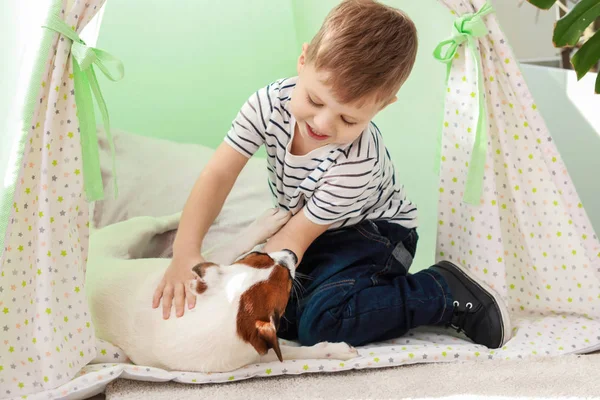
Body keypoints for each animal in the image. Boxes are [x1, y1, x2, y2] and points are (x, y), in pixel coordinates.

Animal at [86, 208, 358, 374]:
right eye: (288, 283)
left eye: (260, 255)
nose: (291, 253)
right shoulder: (257, 350)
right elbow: (296, 351)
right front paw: (334, 349)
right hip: (128, 234)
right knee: (156, 222)